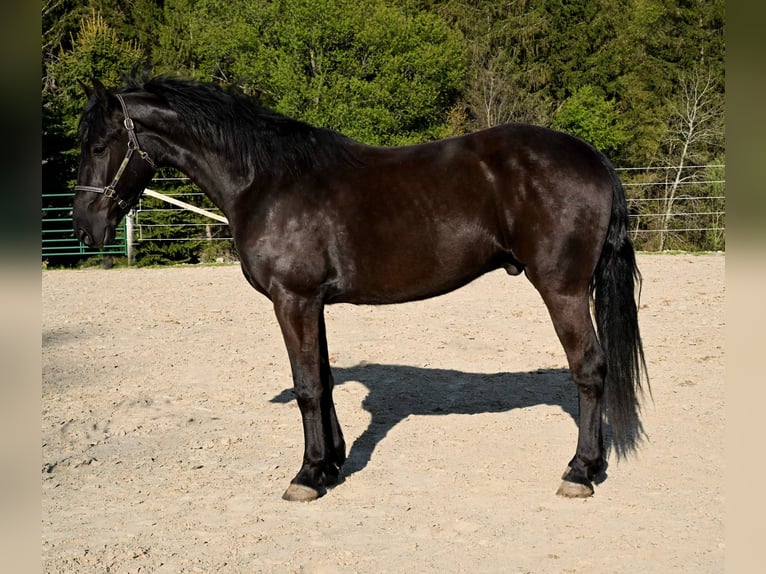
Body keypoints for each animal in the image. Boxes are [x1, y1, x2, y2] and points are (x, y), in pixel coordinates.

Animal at [73, 76, 648, 502]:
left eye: (100, 145)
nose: (84, 229)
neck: (266, 181)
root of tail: (592, 158)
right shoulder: (313, 303)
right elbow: (323, 381)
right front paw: (331, 464)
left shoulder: (293, 300)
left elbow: (307, 386)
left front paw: (306, 476)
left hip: (563, 290)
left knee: (589, 370)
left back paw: (580, 471)